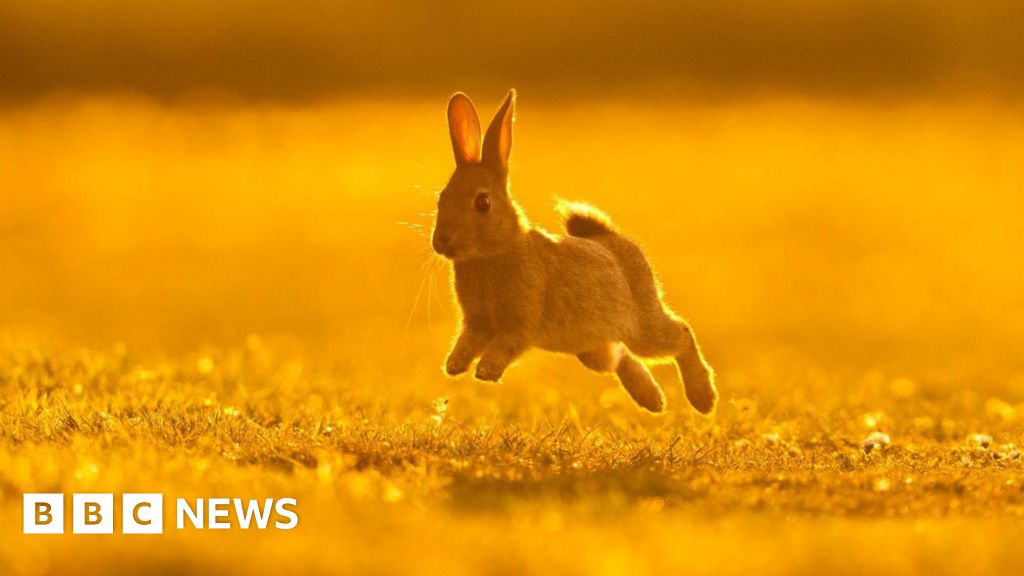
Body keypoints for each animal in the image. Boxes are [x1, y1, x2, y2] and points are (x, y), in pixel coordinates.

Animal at [431, 89, 717, 414]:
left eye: (483, 203)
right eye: (442, 197)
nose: (441, 240)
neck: (494, 253)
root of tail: (612, 238)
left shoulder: (521, 322)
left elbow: (506, 344)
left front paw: (486, 371)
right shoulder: (477, 322)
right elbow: (467, 341)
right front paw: (454, 366)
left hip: (642, 327)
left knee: (680, 334)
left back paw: (703, 399)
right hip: (593, 348)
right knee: (620, 356)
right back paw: (653, 401)